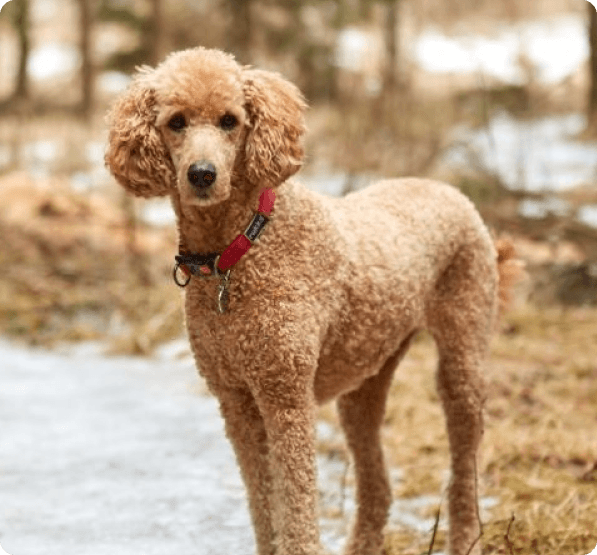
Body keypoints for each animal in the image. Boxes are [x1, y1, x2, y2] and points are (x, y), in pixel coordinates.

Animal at [106, 46, 516, 555]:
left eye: (230, 121)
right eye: (176, 122)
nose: (202, 175)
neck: (241, 248)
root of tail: (452, 192)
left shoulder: (285, 397)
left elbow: (296, 507)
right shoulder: (236, 402)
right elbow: (263, 504)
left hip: (463, 355)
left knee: (464, 468)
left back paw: (464, 535)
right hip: (365, 378)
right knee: (377, 484)